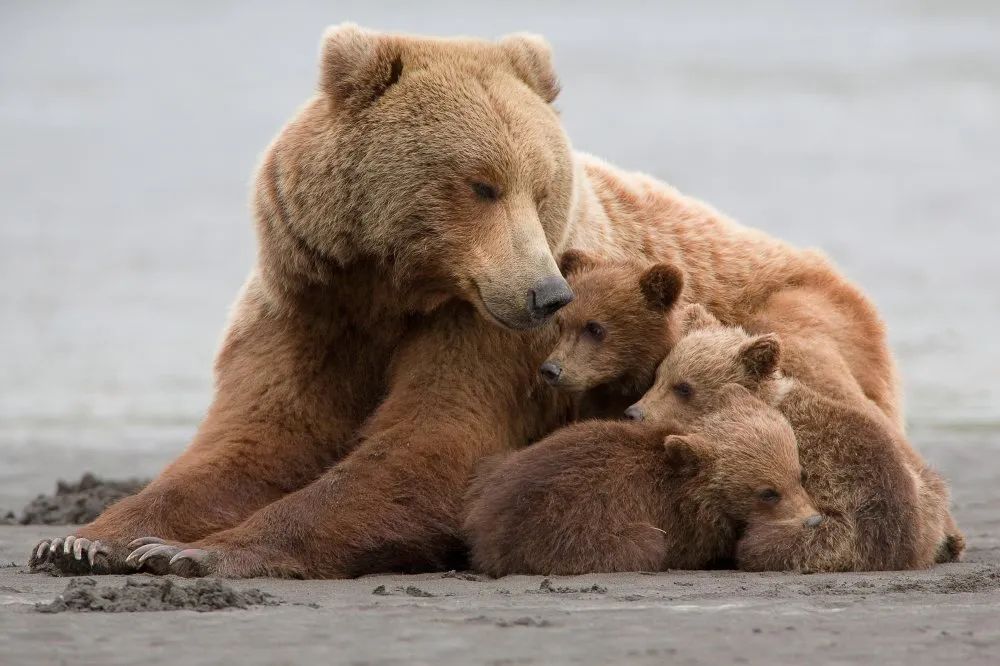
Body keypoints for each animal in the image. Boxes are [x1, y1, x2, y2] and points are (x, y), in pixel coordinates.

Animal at [464, 384, 816, 576]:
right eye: (768, 492)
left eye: (799, 475)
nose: (813, 519)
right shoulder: (678, 520)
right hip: (573, 527)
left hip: (495, 468)